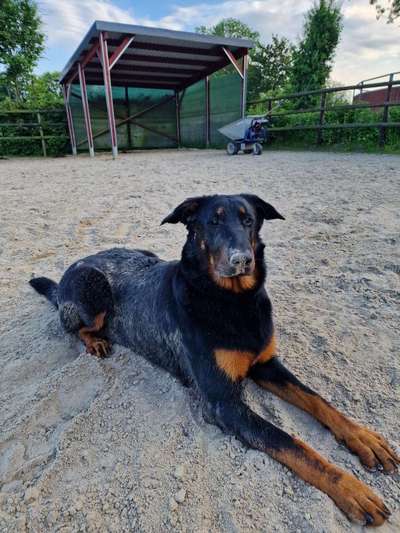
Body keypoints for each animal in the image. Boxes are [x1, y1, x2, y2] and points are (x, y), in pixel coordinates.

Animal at [29, 194, 398, 524]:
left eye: (248, 220)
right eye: (213, 222)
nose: (242, 259)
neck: (233, 301)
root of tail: (72, 269)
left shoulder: (266, 364)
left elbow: (319, 400)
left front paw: (365, 439)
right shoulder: (223, 403)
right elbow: (292, 444)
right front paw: (352, 489)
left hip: (142, 254)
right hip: (92, 288)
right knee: (72, 323)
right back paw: (95, 342)